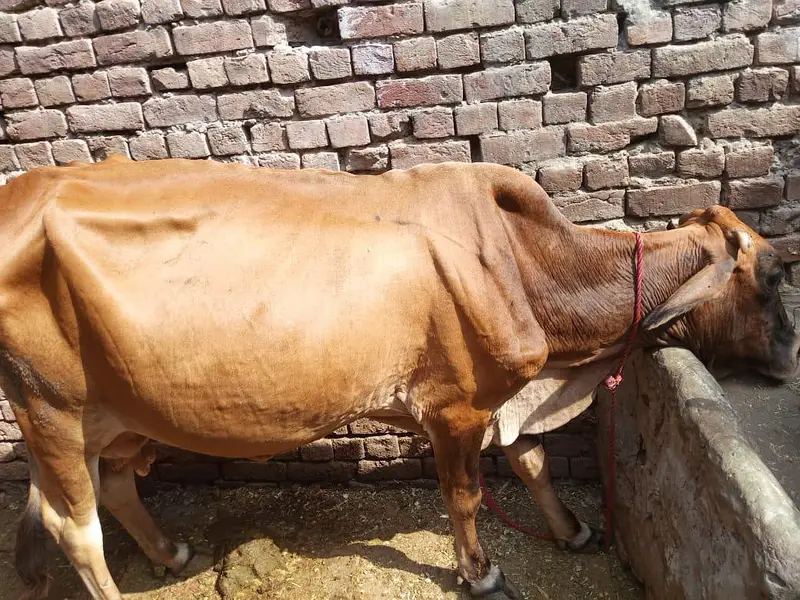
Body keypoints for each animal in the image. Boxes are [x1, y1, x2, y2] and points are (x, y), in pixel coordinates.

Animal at [0, 156, 796, 600]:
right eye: (771, 279)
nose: (791, 356)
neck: (524, 264)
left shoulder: (503, 400)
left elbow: (532, 461)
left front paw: (571, 531)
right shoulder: (455, 408)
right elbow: (466, 496)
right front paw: (482, 574)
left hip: (108, 415)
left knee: (110, 487)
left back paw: (169, 552)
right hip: (52, 410)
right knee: (74, 530)